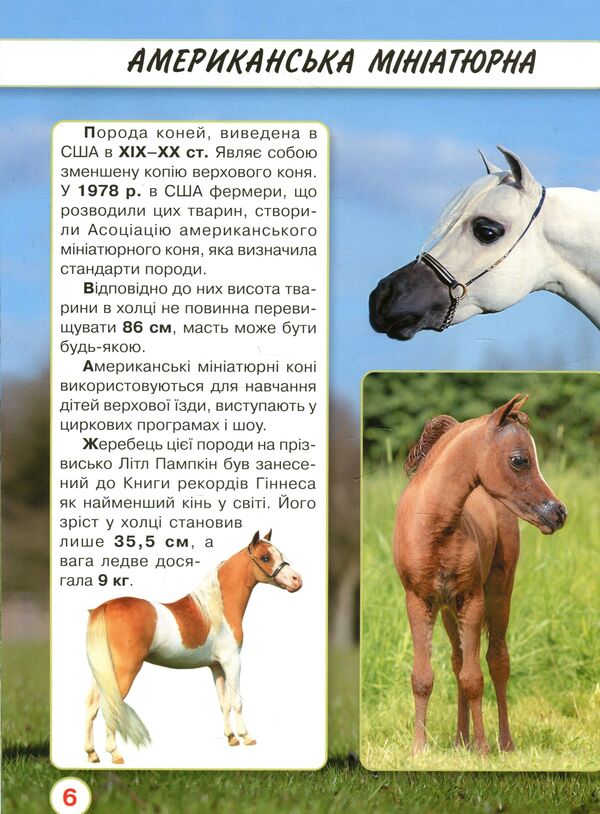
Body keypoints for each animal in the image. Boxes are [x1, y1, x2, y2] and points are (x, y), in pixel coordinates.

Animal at [83, 530, 302, 764]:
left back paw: (92, 753)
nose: (297, 580)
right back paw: (115, 754)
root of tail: (105, 607)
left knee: (92, 704)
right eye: (265, 558)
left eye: (280, 554)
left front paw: (231, 738)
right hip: (124, 671)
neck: (218, 609)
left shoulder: (216, 666)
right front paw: (246, 736)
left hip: (104, 672)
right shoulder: (232, 661)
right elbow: (237, 701)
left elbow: (224, 702)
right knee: (110, 705)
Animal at [392, 396, 567, 755]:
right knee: (459, 660)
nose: (558, 513)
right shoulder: (418, 601)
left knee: (497, 661)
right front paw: (419, 748)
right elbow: (423, 677)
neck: (434, 526)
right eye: (520, 460)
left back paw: (504, 743)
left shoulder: (472, 599)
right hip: (448, 610)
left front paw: (484, 750)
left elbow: (475, 678)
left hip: (499, 592)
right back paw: (461, 740)